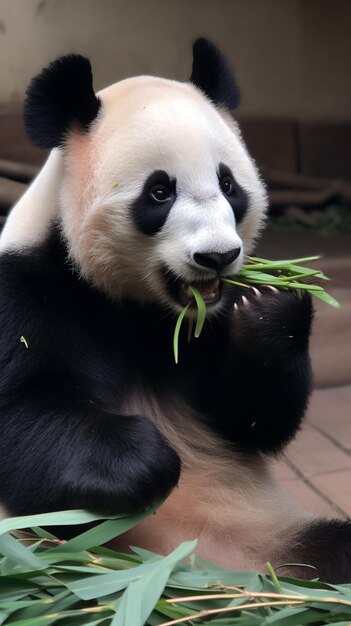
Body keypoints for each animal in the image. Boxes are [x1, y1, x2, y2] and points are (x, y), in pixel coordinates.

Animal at [0, 39, 351, 584]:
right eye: (159, 192)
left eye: (228, 185)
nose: (218, 256)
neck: (143, 306)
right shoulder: (28, 287)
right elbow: (22, 414)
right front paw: (143, 458)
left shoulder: (210, 323)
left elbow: (247, 419)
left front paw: (272, 307)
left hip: (277, 532)